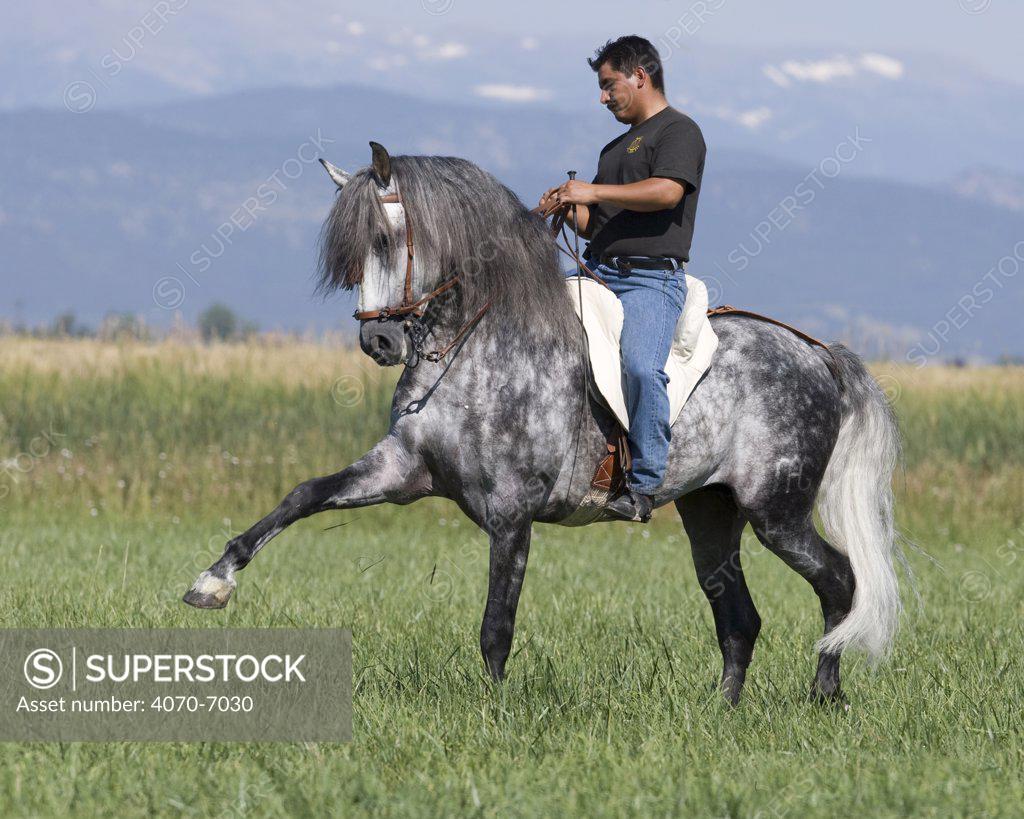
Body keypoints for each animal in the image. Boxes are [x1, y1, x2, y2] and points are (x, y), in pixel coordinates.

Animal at [184, 142, 903, 705]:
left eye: (385, 240)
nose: (380, 342)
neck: (476, 349)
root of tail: (815, 353)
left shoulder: (511, 510)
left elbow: (496, 624)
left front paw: (494, 713)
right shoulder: (402, 470)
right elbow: (301, 495)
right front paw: (213, 581)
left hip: (775, 509)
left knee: (839, 581)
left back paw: (825, 695)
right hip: (710, 510)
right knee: (739, 617)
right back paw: (720, 710)